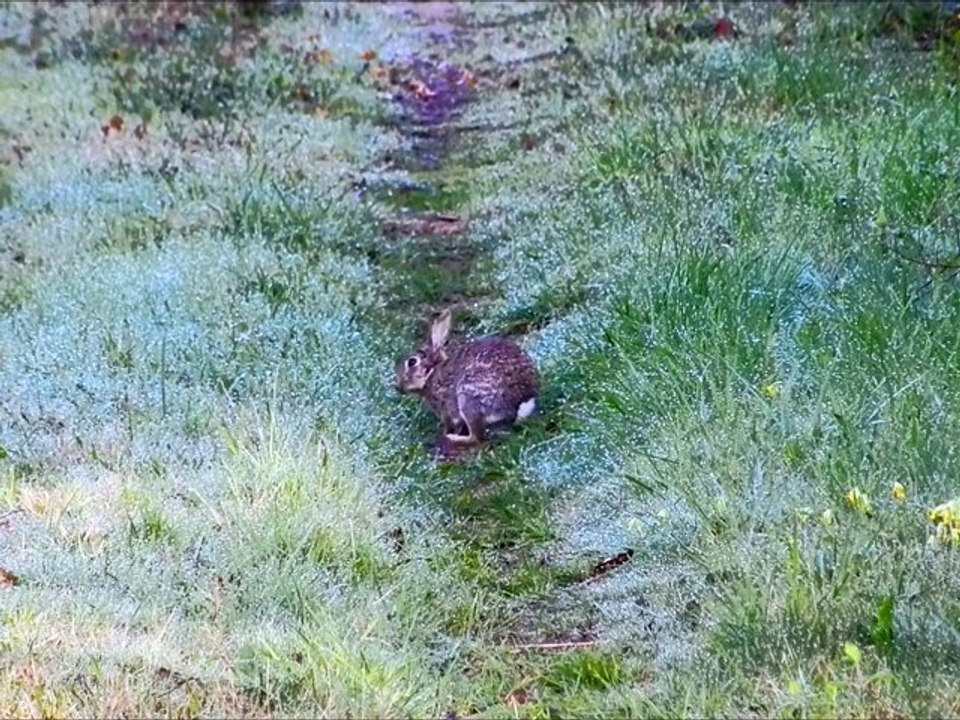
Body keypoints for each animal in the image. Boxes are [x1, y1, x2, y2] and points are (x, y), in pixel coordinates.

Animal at [395, 310, 539, 458]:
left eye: (412, 362)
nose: (398, 387)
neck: (432, 372)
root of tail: (522, 403)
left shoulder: (446, 408)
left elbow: (450, 424)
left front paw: (446, 433)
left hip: (468, 399)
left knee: (477, 438)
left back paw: (452, 439)